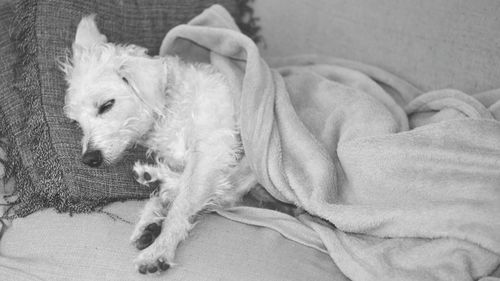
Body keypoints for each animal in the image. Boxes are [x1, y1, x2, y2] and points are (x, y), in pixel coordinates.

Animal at [58, 15, 264, 274]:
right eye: (76, 122)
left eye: (106, 105)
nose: (89, 159)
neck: (169, 107)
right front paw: (152, 217)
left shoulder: (213, 149)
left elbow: (185, 202)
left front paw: (160, 248)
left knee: (227, 191)